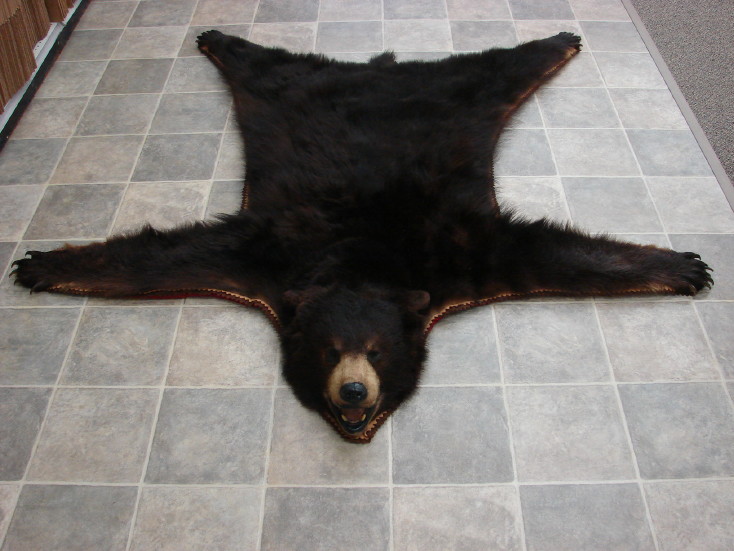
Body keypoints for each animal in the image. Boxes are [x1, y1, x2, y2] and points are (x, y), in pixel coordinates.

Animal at [12, 31, 712, 443]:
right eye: (329, 353)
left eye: (376, 352)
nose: (354, 392)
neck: (357, 258)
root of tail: (378, 73)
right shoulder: (262, 254)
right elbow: (158, 259)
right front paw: (41, 264)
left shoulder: (461, 249)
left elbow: (558, 255)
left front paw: (683, 265)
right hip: (284, 92)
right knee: (262, 63)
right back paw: (219, 36)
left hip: (462, 96)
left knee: (499, 67)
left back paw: (562, 36)